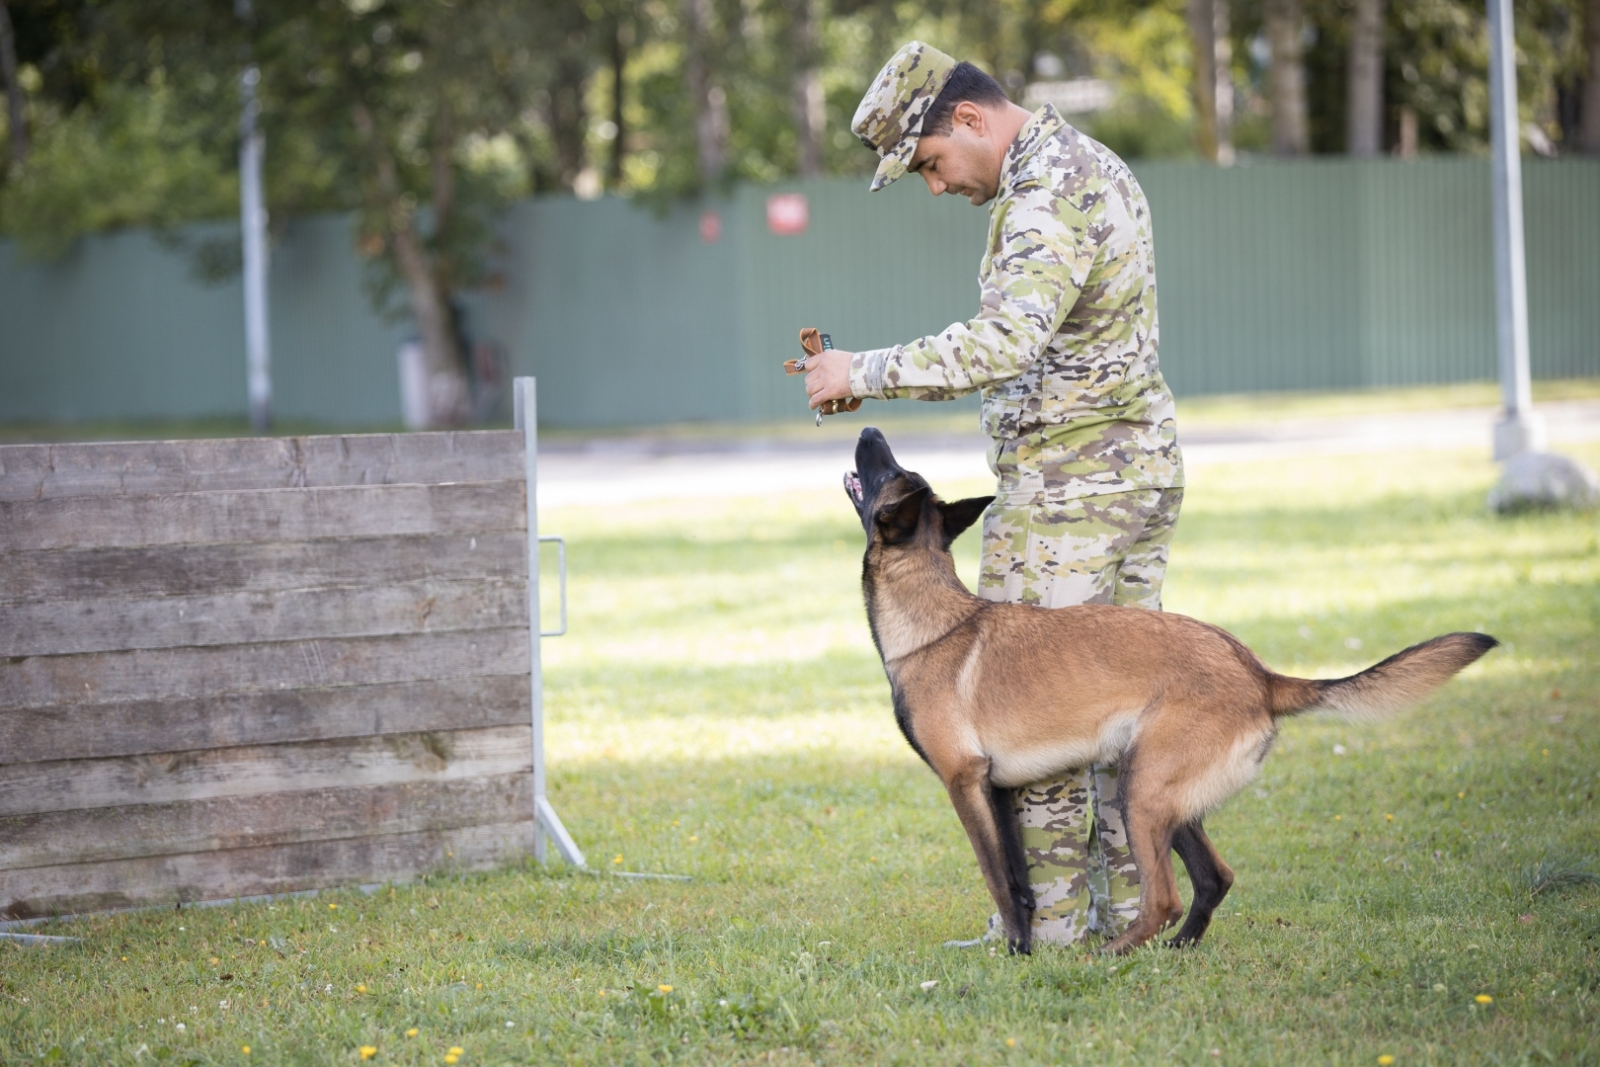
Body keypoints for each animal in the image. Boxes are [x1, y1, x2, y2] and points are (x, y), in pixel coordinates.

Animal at [851, 428, 1497, 959]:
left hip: (1138, 793)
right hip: (1160, 793)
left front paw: (1015, 953)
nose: (869, 429)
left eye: (887, 471)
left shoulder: (965, 784)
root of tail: (1259, 674)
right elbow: (1019, 880)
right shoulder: (998, 789)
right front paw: (1024, 947)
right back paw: (1178, 951)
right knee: (1215, 878)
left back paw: (1108, 958)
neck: (932, 618)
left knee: (1164, 898)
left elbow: (998, 879)